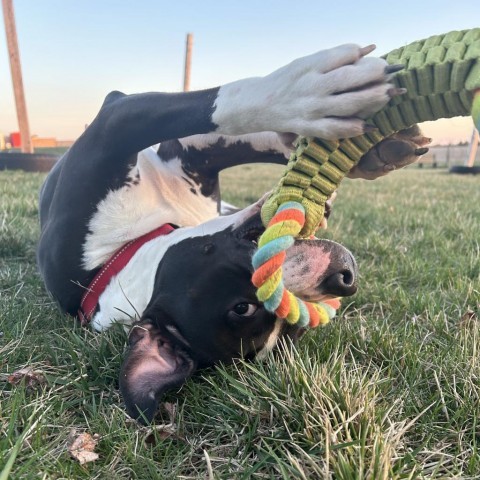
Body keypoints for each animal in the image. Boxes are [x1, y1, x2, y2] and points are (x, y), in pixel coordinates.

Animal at [35, 43, 430, 422]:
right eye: (243, 308)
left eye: (297, 330)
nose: (344, 278)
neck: (117, 254)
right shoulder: (114, 121)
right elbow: (223, 105)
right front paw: (310, 94)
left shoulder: (189, 157)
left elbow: (229, 128)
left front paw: (365, 144)